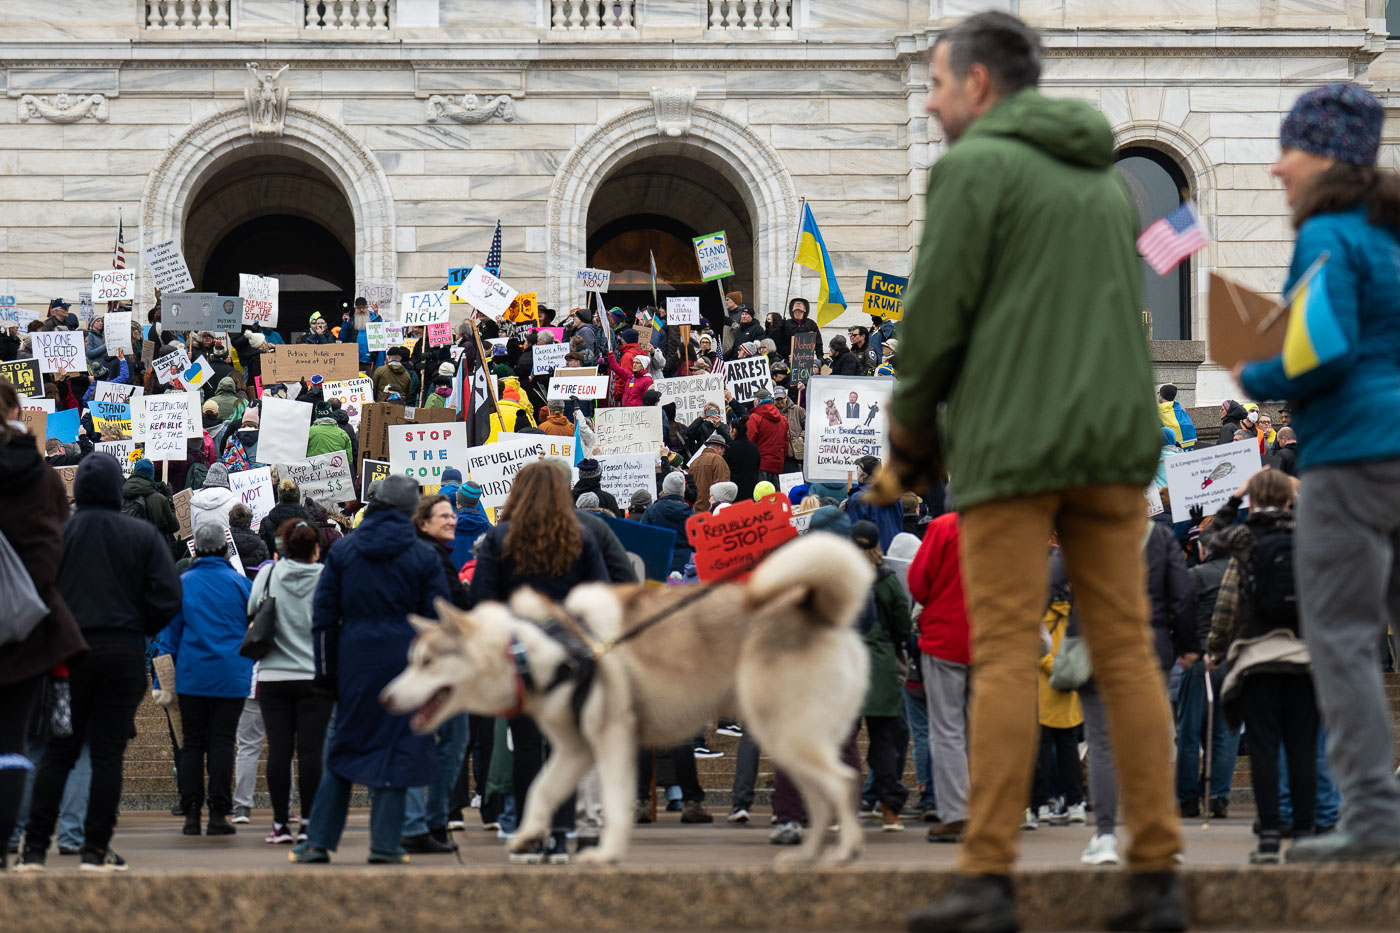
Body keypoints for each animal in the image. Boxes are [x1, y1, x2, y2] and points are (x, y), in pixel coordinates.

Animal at [378, 529, 868, 862]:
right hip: (783, 739)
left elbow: (613, 804)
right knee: (823, 795)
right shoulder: (575, 750)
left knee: (844, 782)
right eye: (411, 659)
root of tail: (820, 611)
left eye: (426, 661)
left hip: (784, 732)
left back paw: (844, 852)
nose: (384, 699)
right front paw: (530, 835)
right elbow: (540, 790)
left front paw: (605, 854)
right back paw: (806, 856)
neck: (533, 648)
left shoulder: (612, 739)